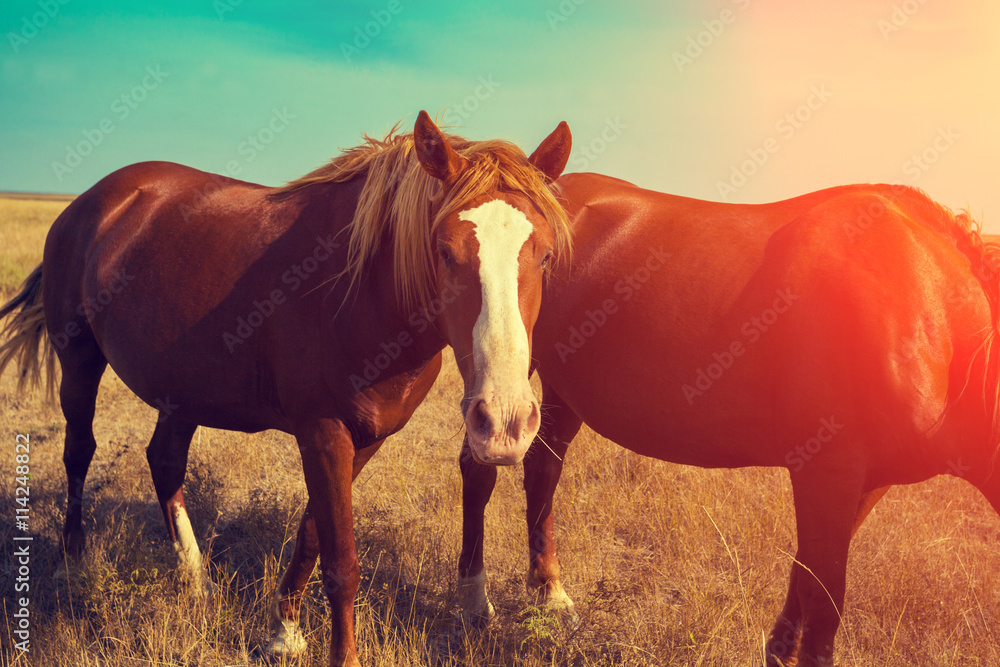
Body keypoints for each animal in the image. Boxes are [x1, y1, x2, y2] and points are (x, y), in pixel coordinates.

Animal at [0, 112, 576, 664]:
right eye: (443, 250)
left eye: (546, 255)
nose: (504, 421)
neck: (360, 289)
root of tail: (92, 200)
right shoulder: (322, 431)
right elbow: (342, 561)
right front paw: (339, 655)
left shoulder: (364, 438)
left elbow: (313, 533)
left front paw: (284, 632)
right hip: (79, 359)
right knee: (79, 450)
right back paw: (71, 562)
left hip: (181, 388)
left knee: (164, 460)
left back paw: (194, 578)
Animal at [456, 174, 1000, 667]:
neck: (931, 308)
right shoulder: (828, 472)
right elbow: (823, 602)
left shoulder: (862, 484)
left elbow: (804, 576)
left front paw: (778, 652)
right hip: (504, 377)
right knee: (479, 470)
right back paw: (474, 604)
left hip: (564, 391)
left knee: (543, 471)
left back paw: (549, 593)